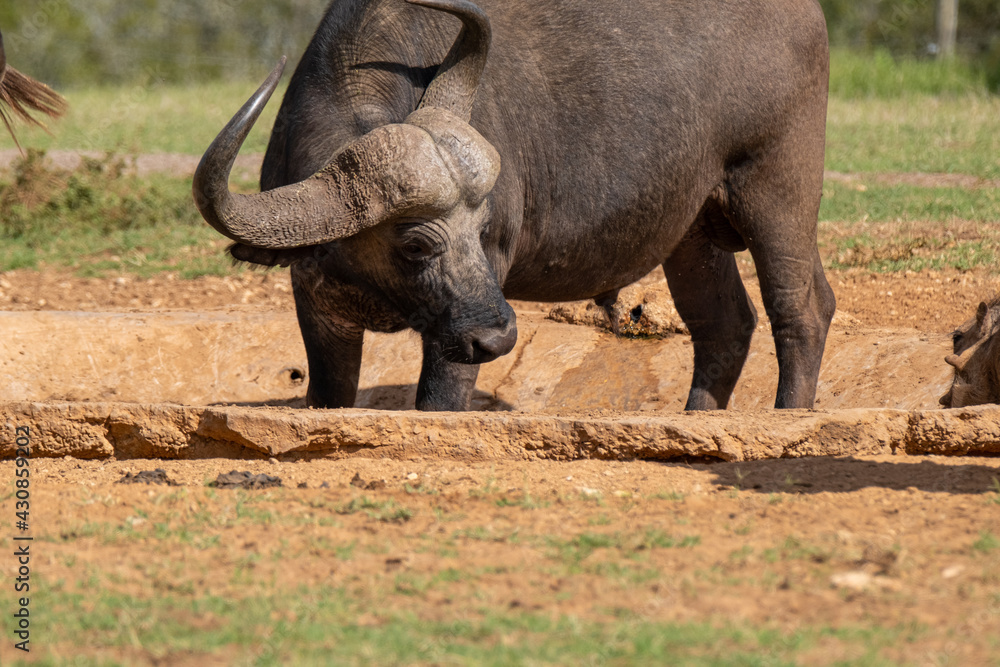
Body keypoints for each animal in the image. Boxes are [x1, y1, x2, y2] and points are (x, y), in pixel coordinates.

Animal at [194, 0, 836, 412]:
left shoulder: (458, 329)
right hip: (691, 230)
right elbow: (327, 396)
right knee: (726, 322)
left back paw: (788, 416)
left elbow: (439, 400)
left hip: (779, 185)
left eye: (481, 228)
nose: (498, 338)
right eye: (415, 243)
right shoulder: (317, 303)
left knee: (800, 306)